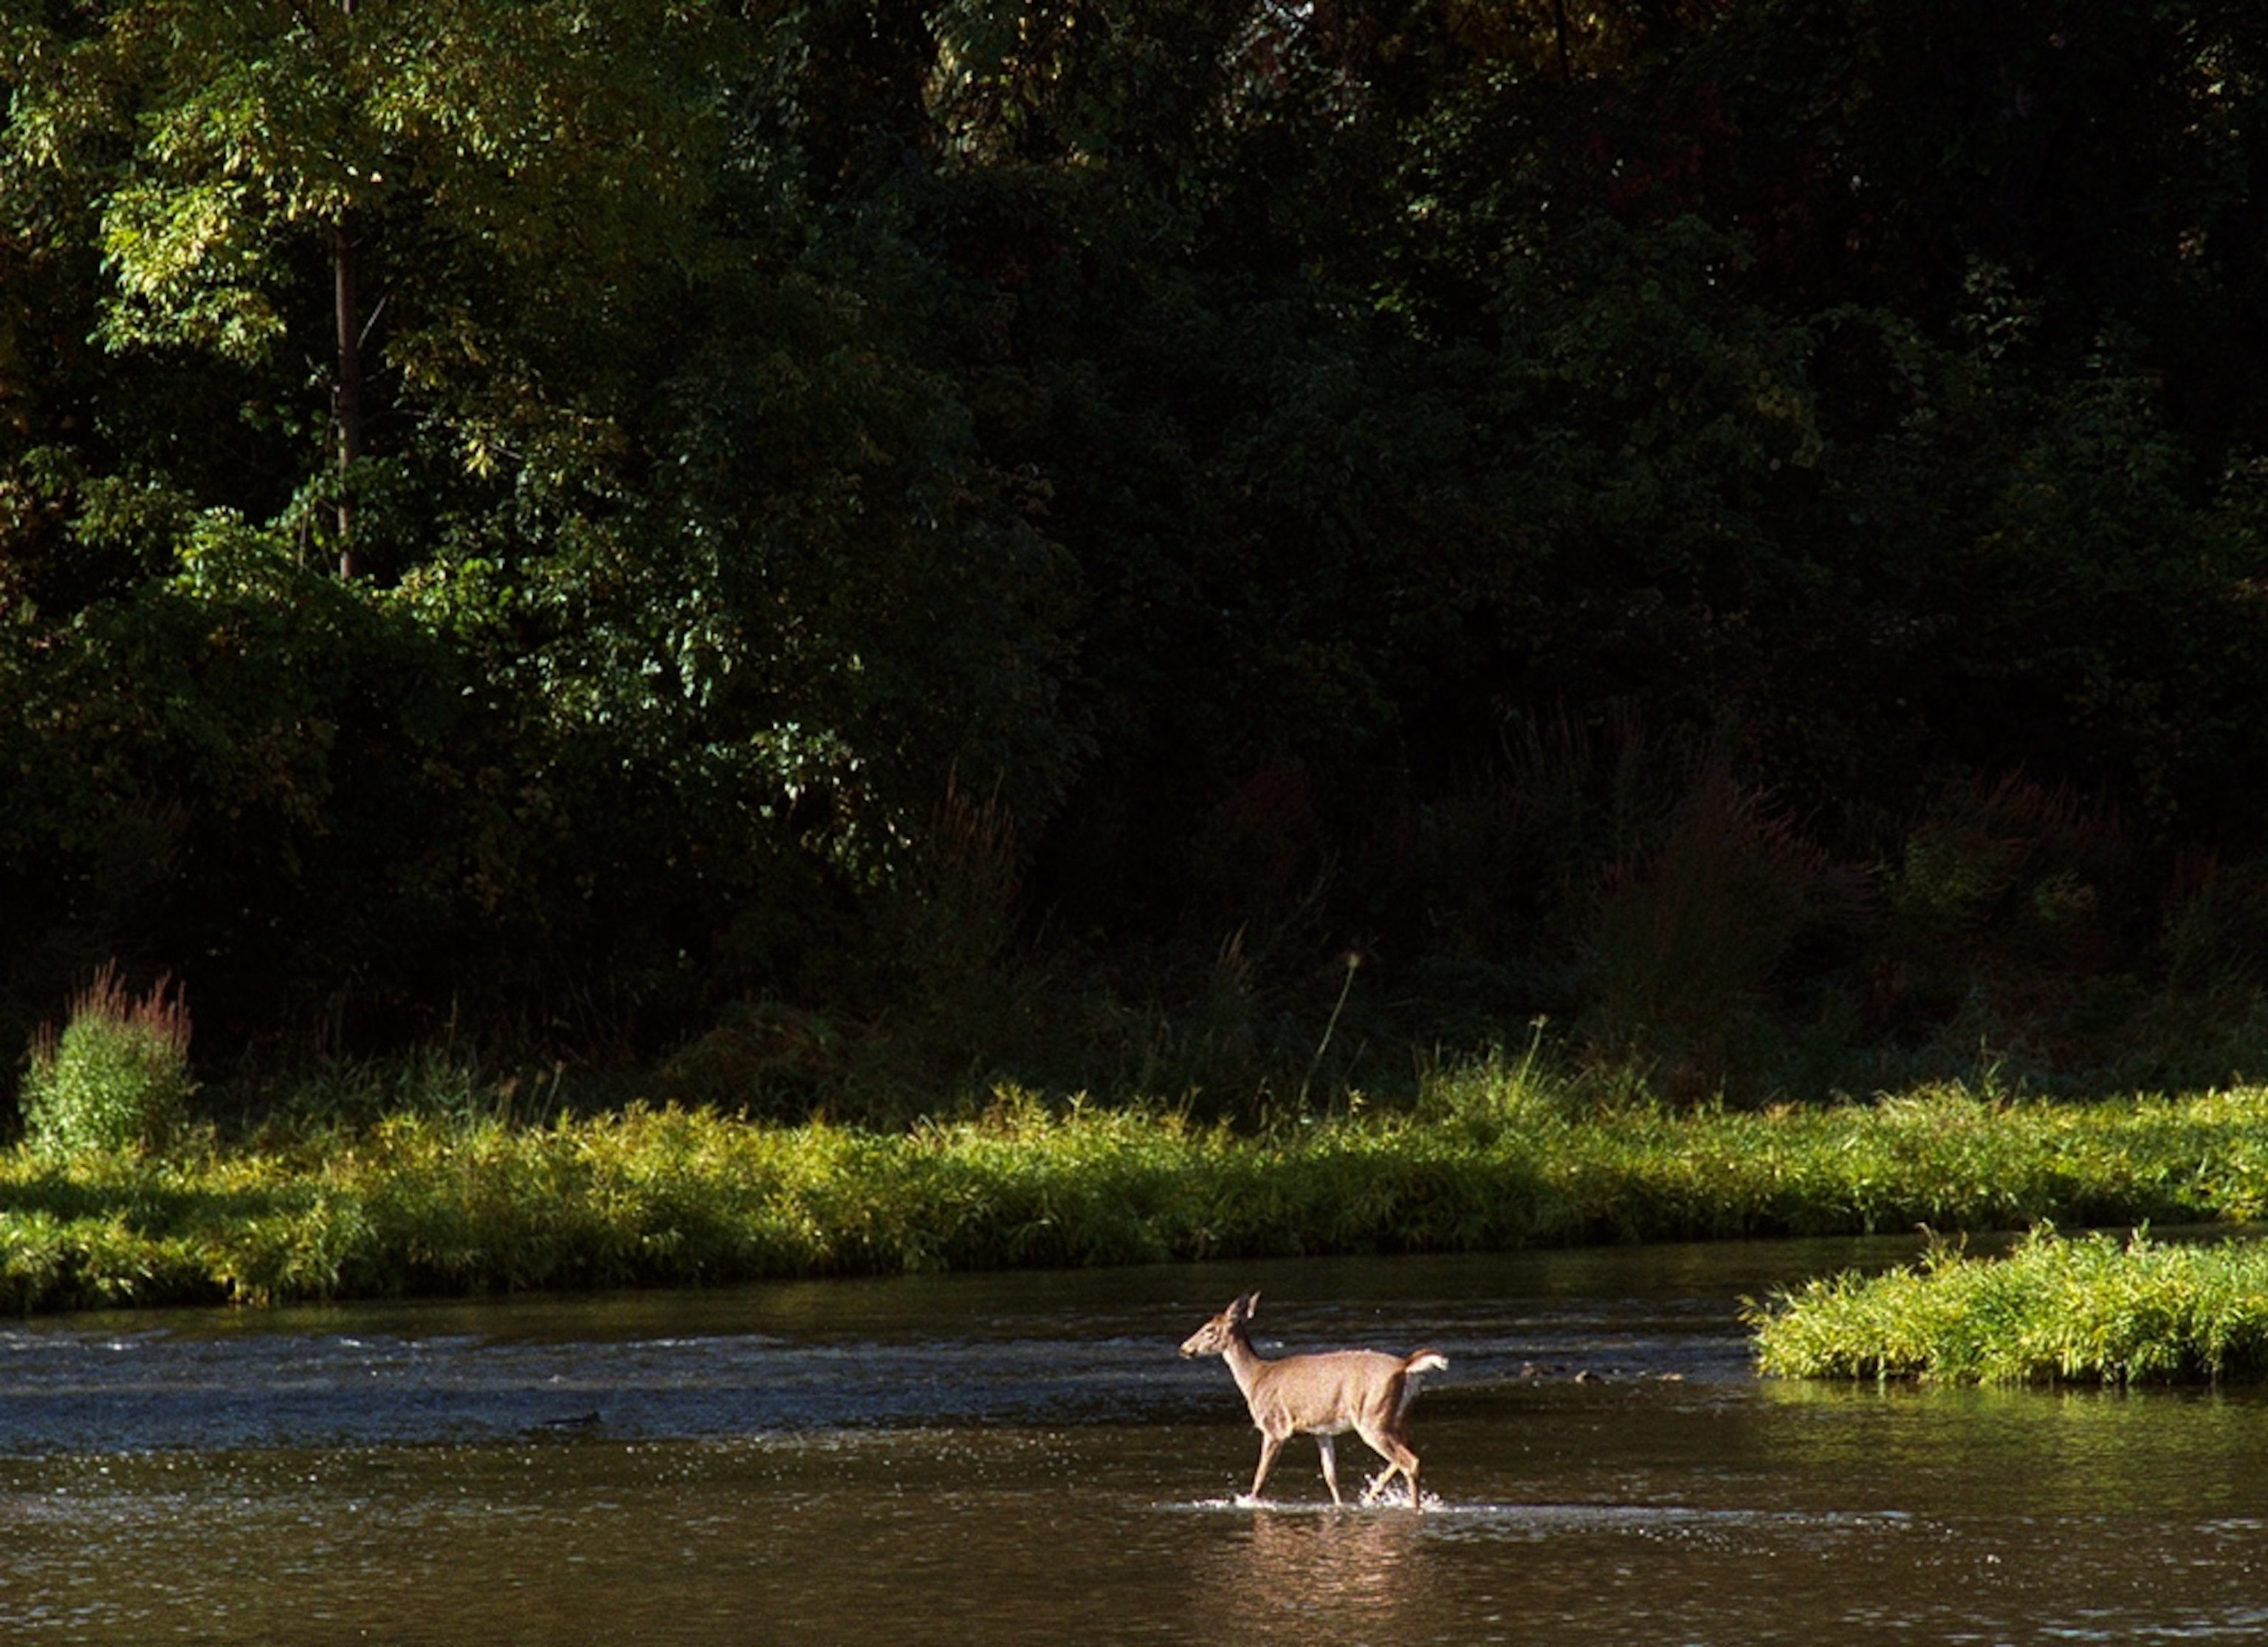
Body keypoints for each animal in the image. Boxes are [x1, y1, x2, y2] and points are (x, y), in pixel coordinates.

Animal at [1179, 1292, 1447, 1511]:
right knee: (1407, 1454)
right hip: (1398, 1418)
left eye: (1209, 1329)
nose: (1184, 1348)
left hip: (1373, 1418)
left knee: (1409, 1461)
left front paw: (1248, 1502)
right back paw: (1372, 1497)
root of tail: (1405, 1367)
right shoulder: (1322, 1431)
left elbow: (1261, 1475)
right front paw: (1340, 1506)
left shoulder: (1274, 1427)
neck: (1256, 1379)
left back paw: (1412, 1507)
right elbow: (1331, 1477)